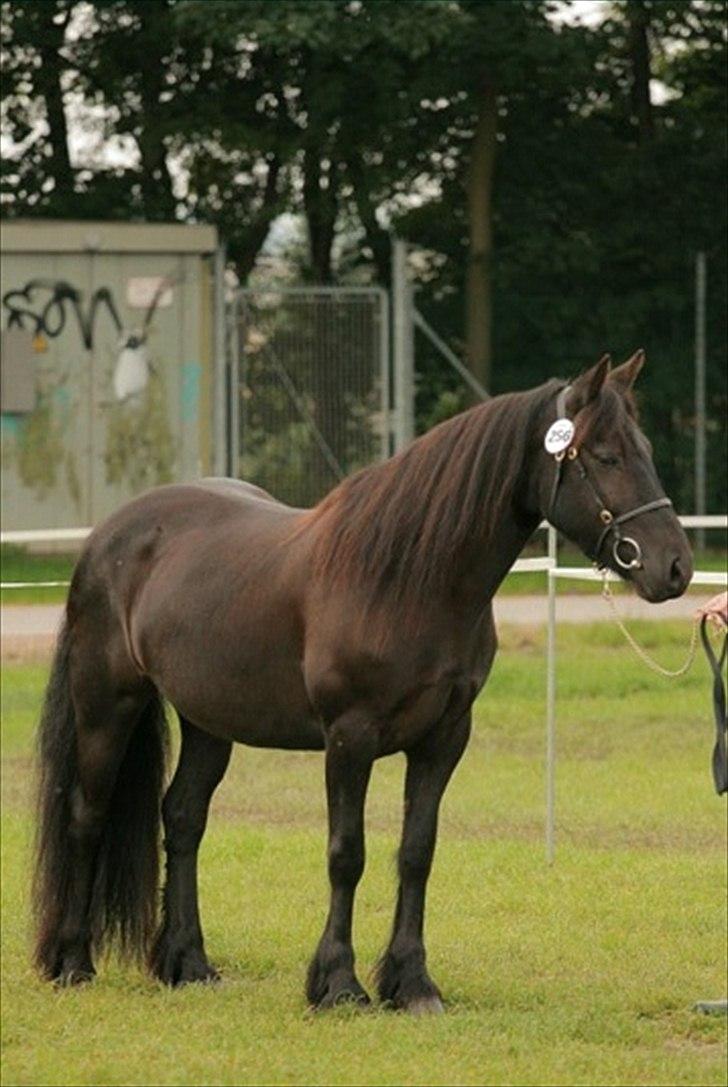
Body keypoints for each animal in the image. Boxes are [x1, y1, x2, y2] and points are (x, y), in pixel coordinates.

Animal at [34, 354, 691, 1008]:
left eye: (644, 449)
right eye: (605, 456)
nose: (676, 567)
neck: (409, 580)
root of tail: (108, 535)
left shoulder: (444, 739)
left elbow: (417, 852)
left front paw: (412, 983)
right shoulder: (350, 738)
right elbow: (346, 854)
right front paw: (338, 983)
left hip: (208, 722)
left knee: (184, 818)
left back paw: (188, 962)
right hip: (106, 705)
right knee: (87, 816)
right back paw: (72, 963)